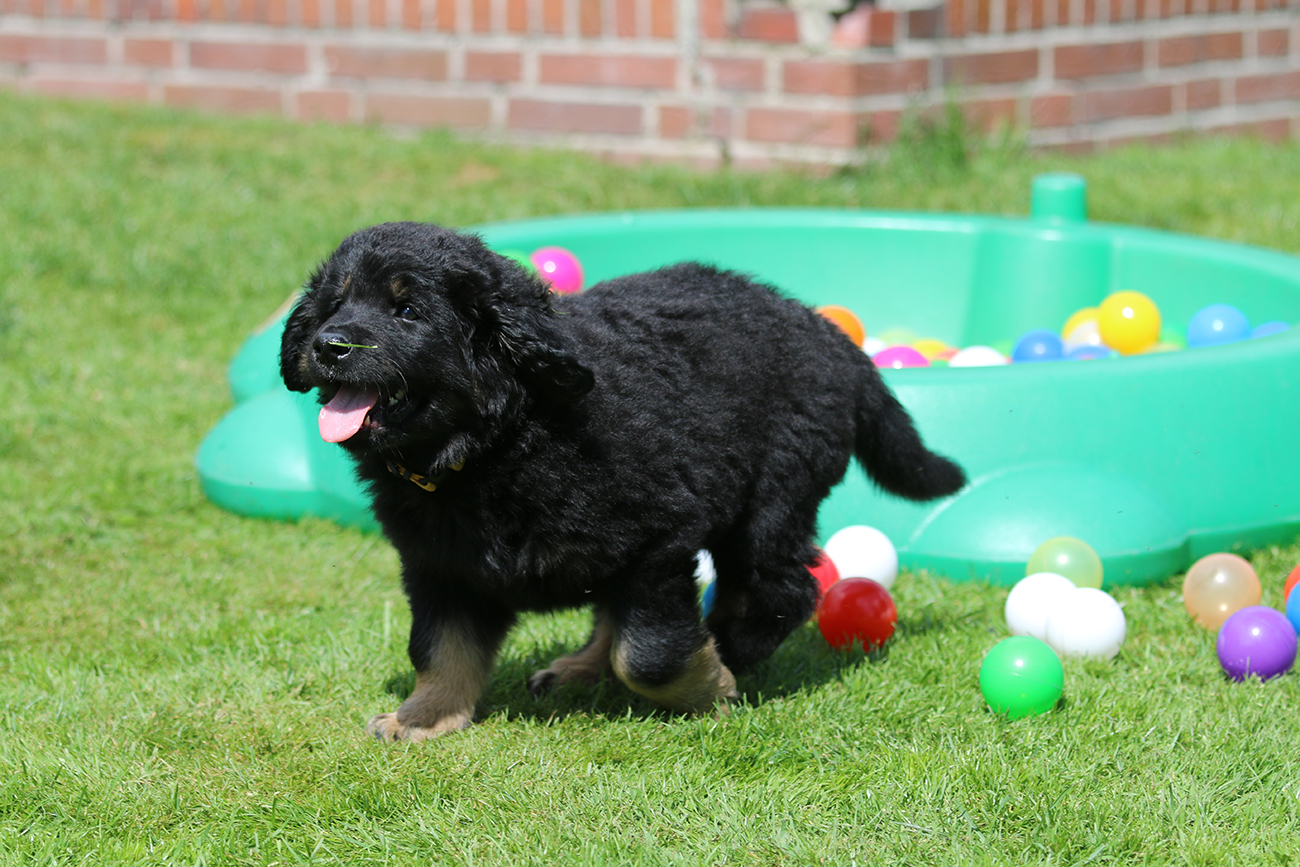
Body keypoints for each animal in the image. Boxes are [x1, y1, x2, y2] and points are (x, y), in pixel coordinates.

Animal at [279, 221, 965, 742]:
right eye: (334, 304)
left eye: (407, 311)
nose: (330, 343)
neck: (498, 442)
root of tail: (830, 336)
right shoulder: (439, 565)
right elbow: (440, 646)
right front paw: (424, 716)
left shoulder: (658, 540)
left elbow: (650, 655)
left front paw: (711, 685)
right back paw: (583, 669)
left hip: (771, 503)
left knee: (785, 588)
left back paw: (732, 649)